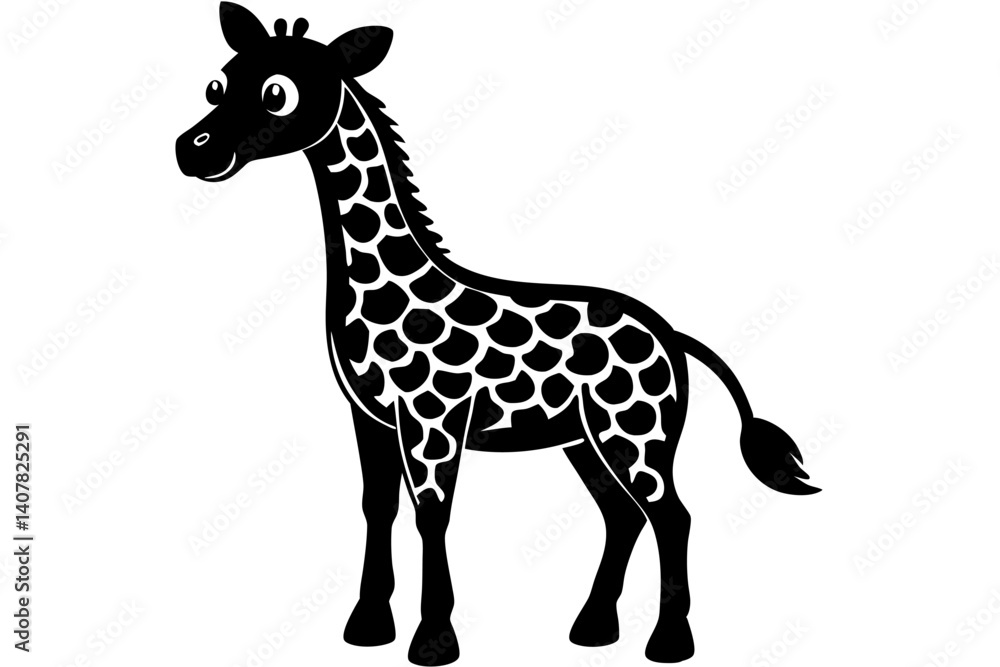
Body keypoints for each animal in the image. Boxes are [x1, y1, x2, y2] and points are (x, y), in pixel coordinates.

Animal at [176, 4, 820, 664]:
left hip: (637, 432)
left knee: (672, 515)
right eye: (217, 85)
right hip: (582, 438)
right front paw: (367, 626)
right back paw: (592, 628)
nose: (193, 151)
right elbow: (377, 506)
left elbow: (432, 513)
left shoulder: (433, 418)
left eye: (278, 93)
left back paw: (668, 641)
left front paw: (433, 640)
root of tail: (672, 335)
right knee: (623, 515)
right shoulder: (369, 414)